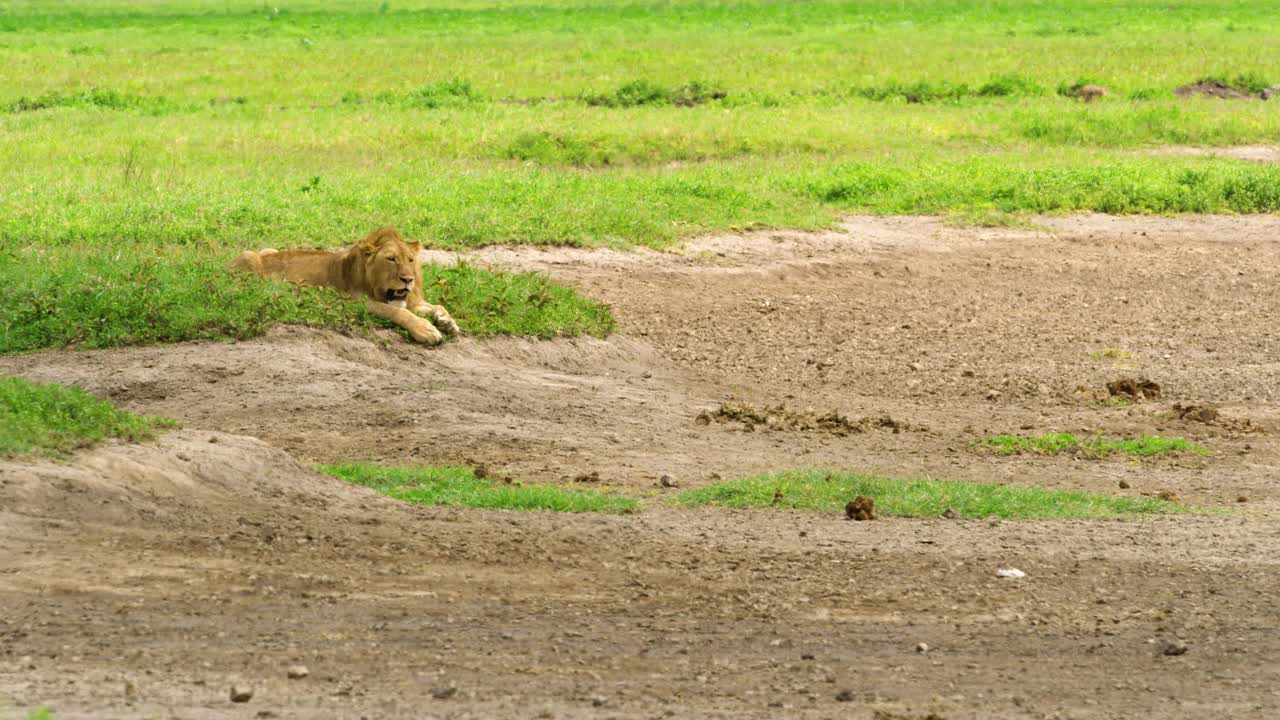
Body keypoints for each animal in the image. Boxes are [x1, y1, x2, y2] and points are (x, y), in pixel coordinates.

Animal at [230, 226, 460, 345]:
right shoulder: (354, 301)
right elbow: (399, 313)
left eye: (410, 260)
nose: (408, 279)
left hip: (269, 249)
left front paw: (447, 322)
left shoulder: (410, 300)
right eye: (391, 259)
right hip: (248, 257)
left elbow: (437, 306)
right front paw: (427, 330)